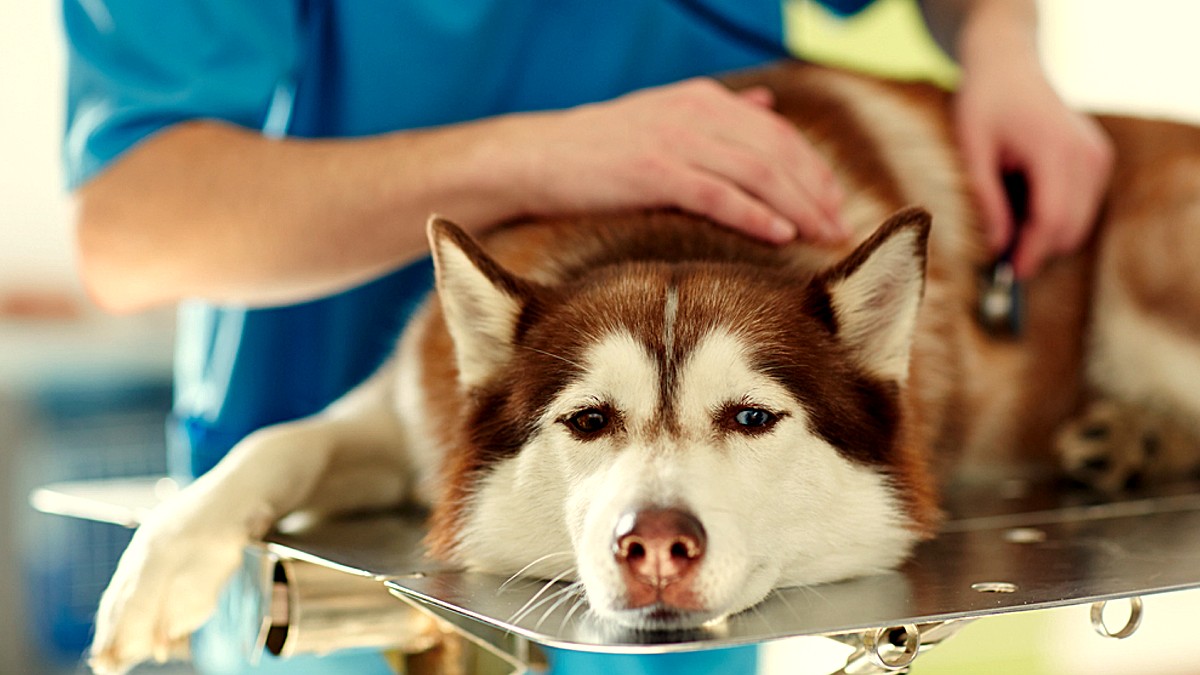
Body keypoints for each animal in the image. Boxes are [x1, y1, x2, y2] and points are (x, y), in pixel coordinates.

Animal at [88, 61, 1200, 667]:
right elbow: (277, 442)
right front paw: (159, 567)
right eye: (588, 421)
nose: (654, 544)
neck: (666, 226)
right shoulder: (410, 411)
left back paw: (1139, 436)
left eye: (751, 417)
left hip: (1147, 261)